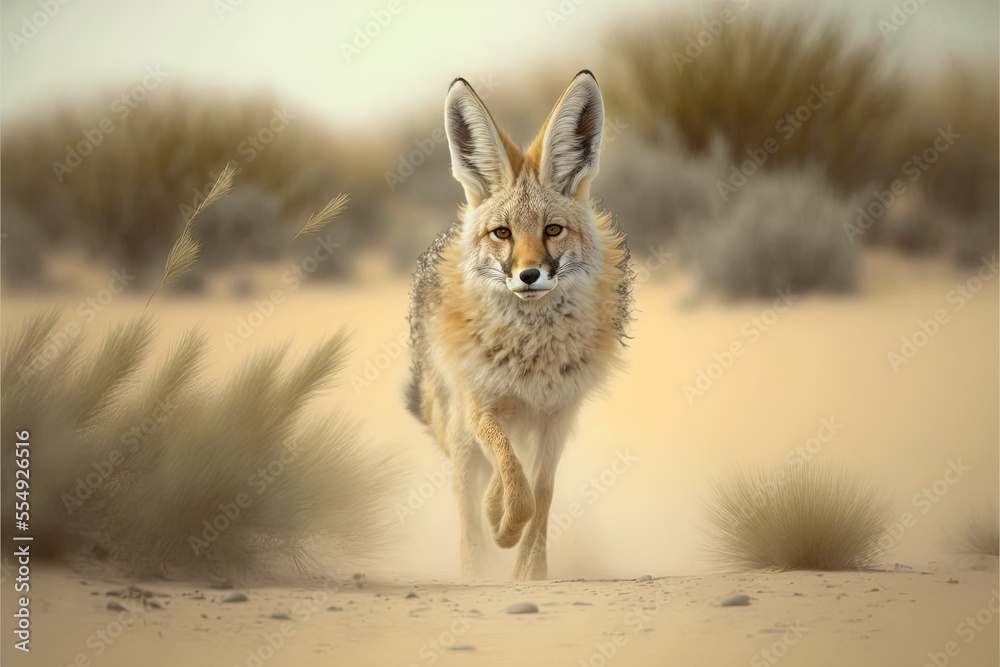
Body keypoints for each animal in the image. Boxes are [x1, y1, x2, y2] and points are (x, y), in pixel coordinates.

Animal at [406, 70, 633, 580]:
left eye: (552, 230)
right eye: (503, 233)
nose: (529, 276)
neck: (532, 359)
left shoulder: (557, 415)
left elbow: (539, 492)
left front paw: (531, 569)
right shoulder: (482, 406)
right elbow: (512, 477)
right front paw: (503, 528)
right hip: (457, 423)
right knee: (468, 491)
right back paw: (475, 565)